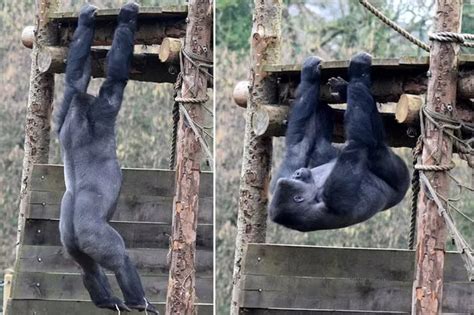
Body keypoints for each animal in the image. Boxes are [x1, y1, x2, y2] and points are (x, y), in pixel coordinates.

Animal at [55, 2, 159, 314]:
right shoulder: (105, 105)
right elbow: (115, 77)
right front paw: (127, 16)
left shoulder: (70, 102)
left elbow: (75, 77)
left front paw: (86, 21)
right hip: (93, 234)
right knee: (119, 257)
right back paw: (138, 301)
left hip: (71, 240)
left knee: (87, 267)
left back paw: (106, 300)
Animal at [268, 53, 410, 233]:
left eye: (295, 177)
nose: (298, 173)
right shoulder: (334, 199)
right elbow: (357, 143)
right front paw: (358, 71)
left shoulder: (278, 181)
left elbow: (298, 146)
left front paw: (309, 76)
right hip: (400, 176)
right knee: (375, 147)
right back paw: (356, 78)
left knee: (321, 145)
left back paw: (342, 90)